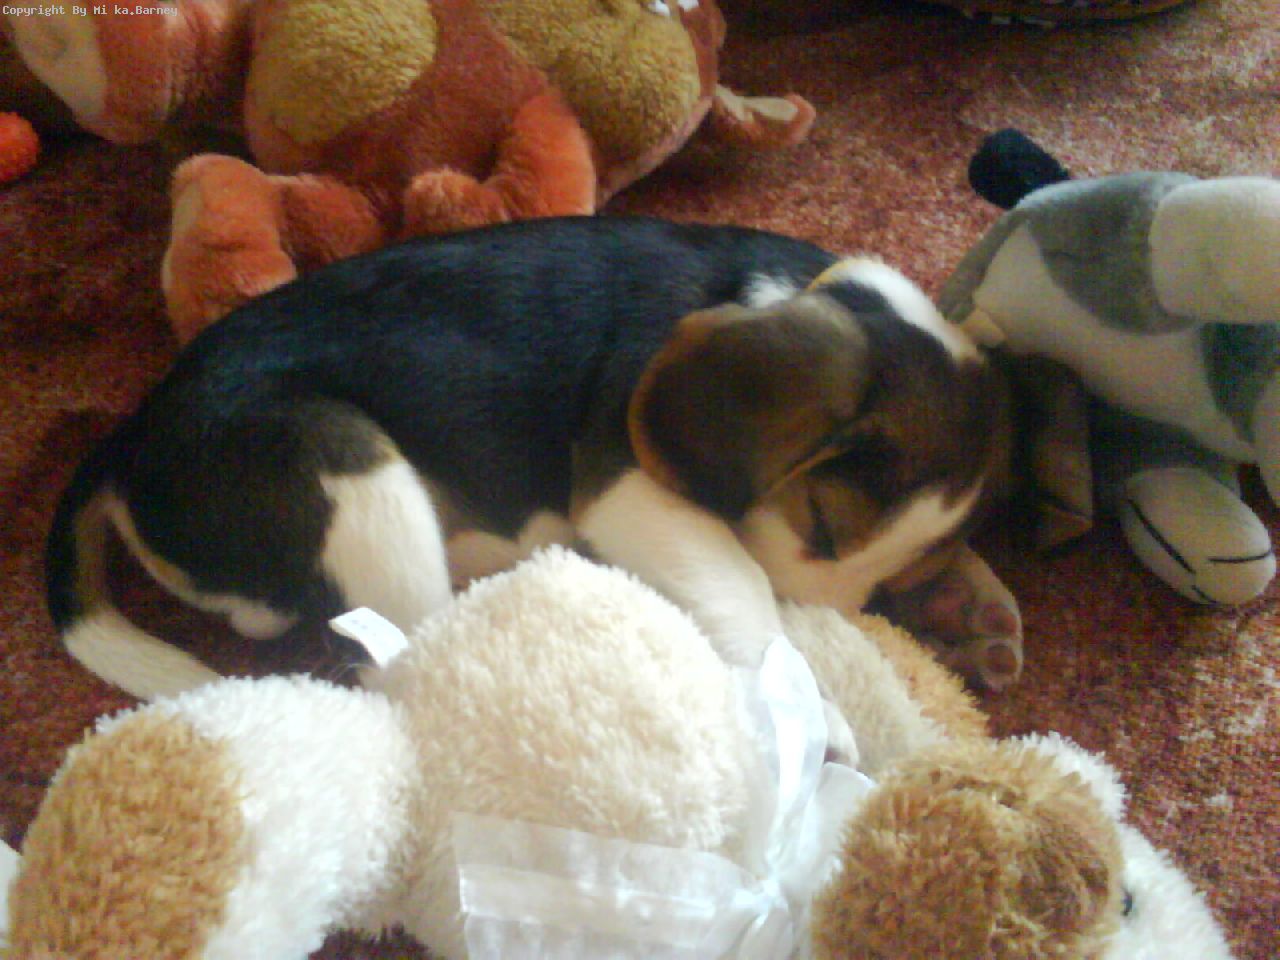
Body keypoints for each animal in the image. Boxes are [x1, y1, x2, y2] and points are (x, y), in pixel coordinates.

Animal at [47, 215, 1021, 706]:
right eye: (818, 521)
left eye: (888, 588)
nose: (839, 619)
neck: (782, 291)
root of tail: (134, 432)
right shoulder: (627, 485)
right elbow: (741, 580)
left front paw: (970, 604)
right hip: (348, 467)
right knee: (385, 660)